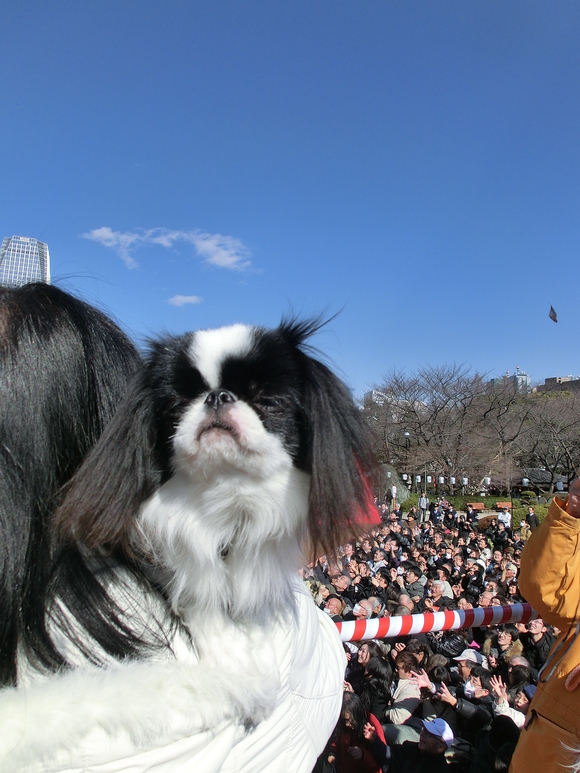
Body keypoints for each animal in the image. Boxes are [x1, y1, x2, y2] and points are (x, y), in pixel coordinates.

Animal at [0, 284, 376, 772]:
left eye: (270, 402)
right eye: (178, 405)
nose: (217, 397)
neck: (225, 499)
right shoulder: (172, 552)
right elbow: (202, 599)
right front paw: (238, 670)